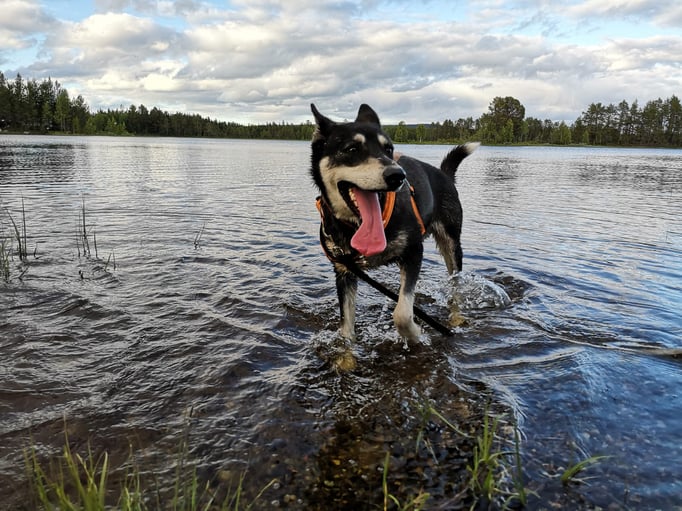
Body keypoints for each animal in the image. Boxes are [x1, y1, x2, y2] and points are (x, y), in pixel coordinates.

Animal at [310, 103, 477, 343]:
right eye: (351, 149)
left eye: (388, 149)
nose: (398, 175)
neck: (355, 227)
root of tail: (444, 173)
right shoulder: (344, 272)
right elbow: (346, 329)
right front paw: (346, 352)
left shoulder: (414, 252)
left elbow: (402, 314)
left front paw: (415, 334)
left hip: (452, 246)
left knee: (456, 287)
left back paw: (455, 318)